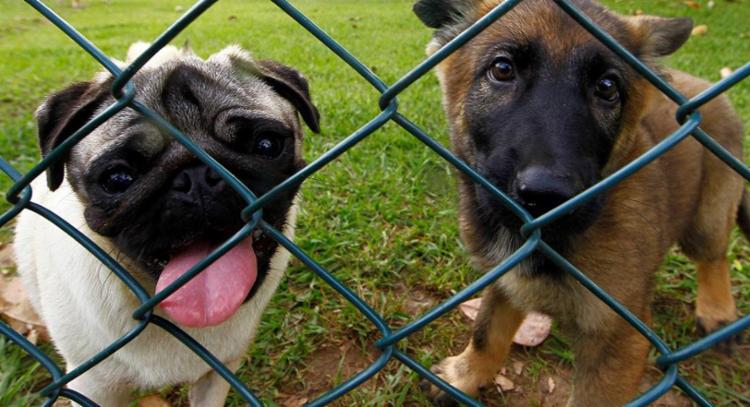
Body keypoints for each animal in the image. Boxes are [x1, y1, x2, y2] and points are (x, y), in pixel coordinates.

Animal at [414, 0, 748, 404]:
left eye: (607, 87)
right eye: (502, 69)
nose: (546, 194)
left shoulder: (618, 338)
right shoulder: (506, 279)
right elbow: (486, 332)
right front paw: (463, 377)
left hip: (708, 213)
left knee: (714, 258)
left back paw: (717, 313)